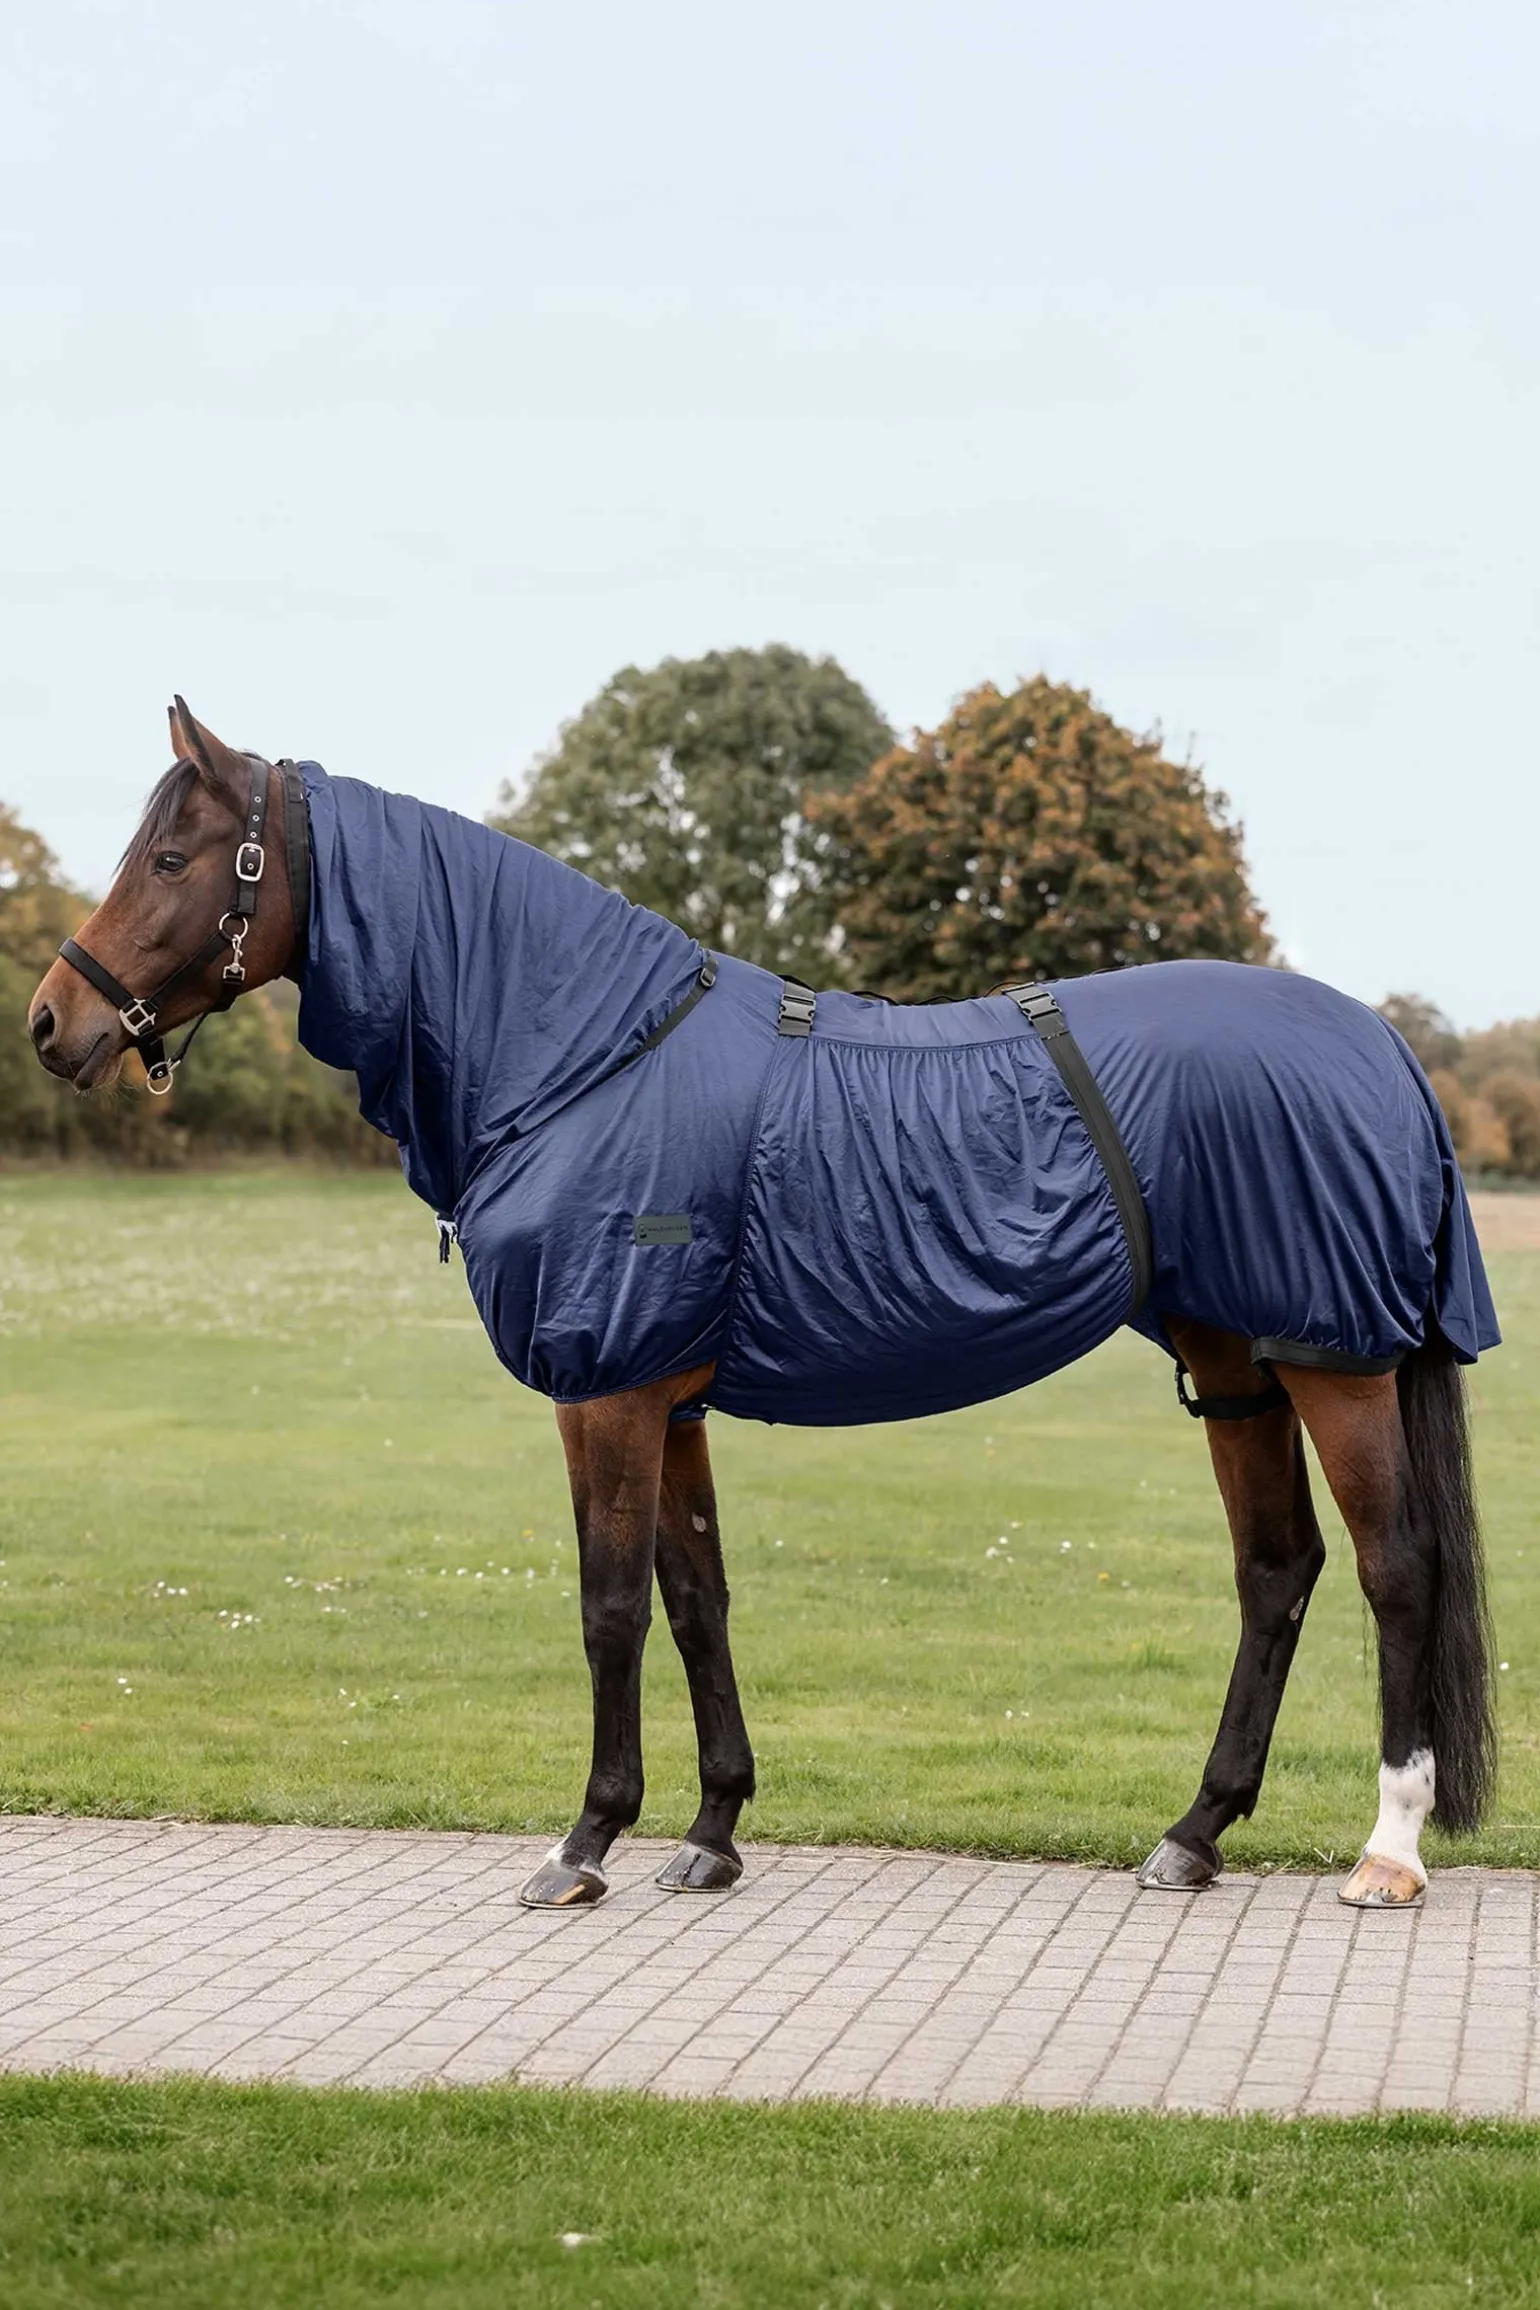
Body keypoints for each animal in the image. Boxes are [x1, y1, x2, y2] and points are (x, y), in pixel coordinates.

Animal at [29, 702, 1499, 1915]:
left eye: (174, 859)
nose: (52, 1023)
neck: (584, 1055)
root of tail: (1382, 1043)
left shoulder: (606, 1391)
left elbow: (609, 1605)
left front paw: (585, 1842)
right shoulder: (668, 1399)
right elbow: (696, 1598)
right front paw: (711, 1832)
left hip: (1336, 1362)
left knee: (1395, 1569)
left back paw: (1387, 1851)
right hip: (1236, 1362)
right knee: (1277, 1570)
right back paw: (1193, 1833)